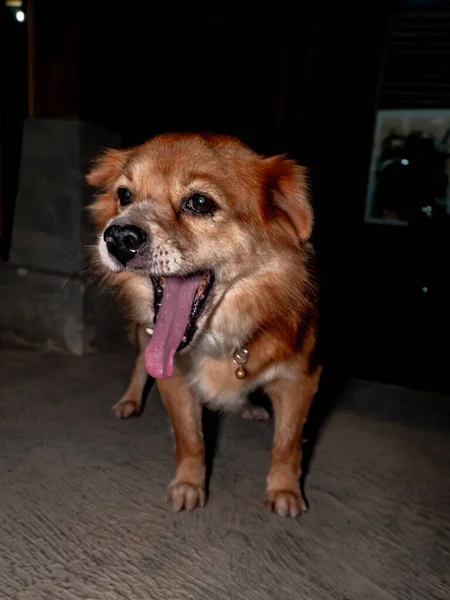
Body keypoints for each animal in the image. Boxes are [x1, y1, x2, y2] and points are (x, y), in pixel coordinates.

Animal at [87, 134, 320, 516]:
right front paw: (188, 485)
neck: (223, 337)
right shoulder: (173, 378)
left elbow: (287, 445)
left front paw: (284, 490)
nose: (118, 237)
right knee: (139, 363)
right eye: (124, 195)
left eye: (199, 202)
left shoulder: (300, 379)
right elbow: (190, 439)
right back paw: (130, 400)